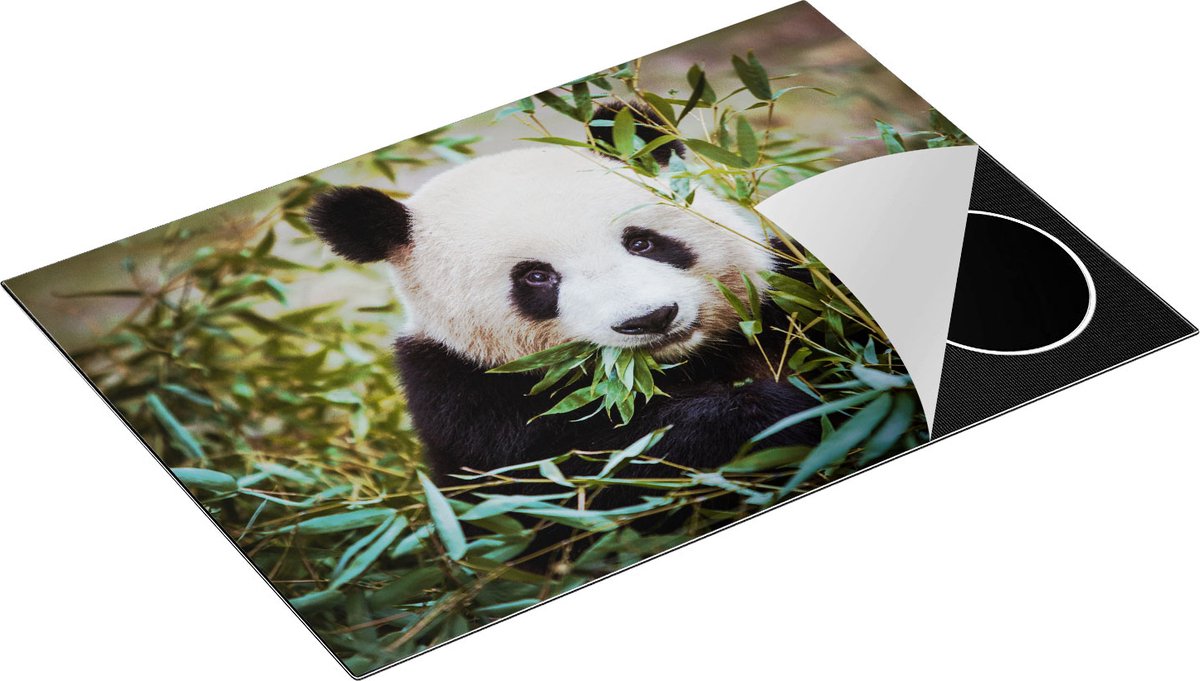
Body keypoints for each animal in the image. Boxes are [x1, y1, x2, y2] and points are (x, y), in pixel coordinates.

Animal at [307, 104, 820, 502]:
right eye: (536, 277)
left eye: (641, 242)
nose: (650, 318)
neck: (682, 365)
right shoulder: (464, 397)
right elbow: (585, 472)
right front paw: (765, 410)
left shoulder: (784, 291)